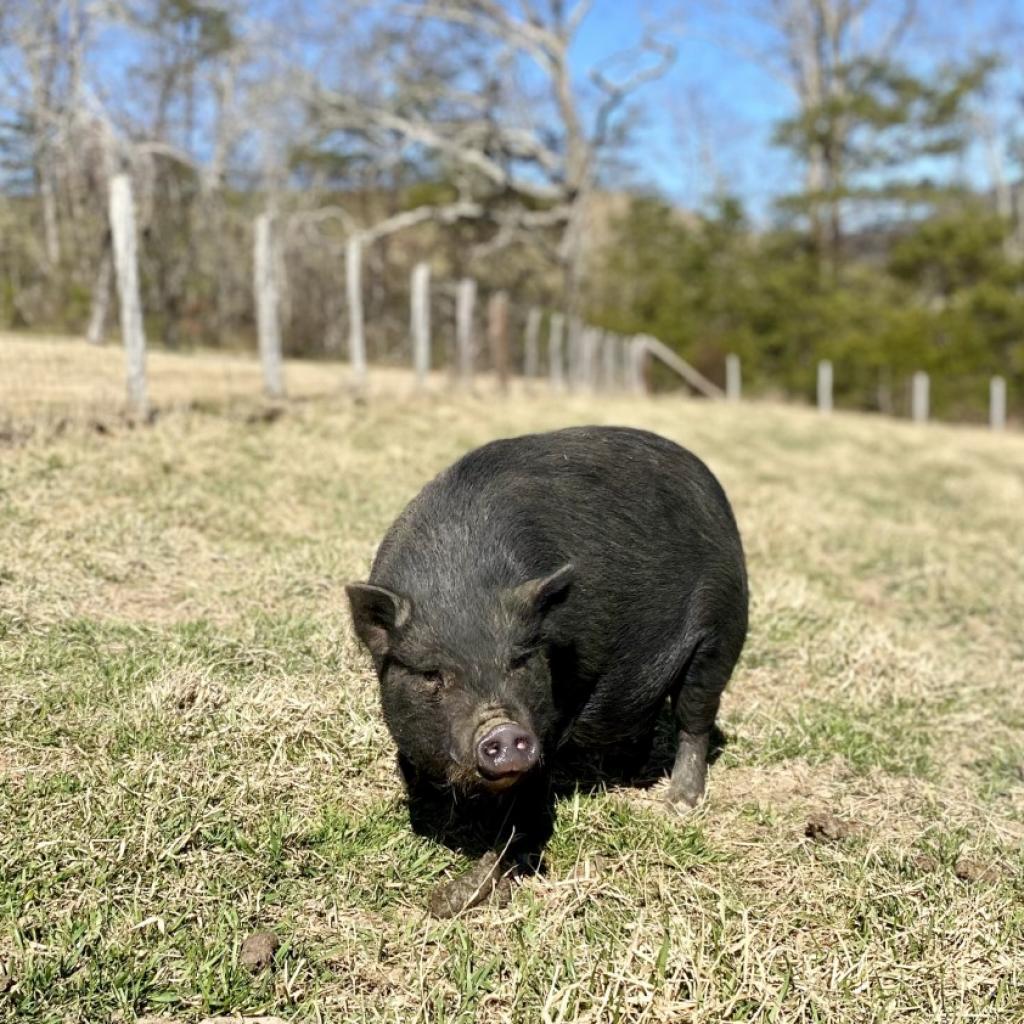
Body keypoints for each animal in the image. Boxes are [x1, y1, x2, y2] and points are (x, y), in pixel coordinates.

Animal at [347, 426, 747, 916]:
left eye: (519, 661)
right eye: (433, 674)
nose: (501, 731)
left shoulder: (555, 717)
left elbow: (520, 814)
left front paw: (446, 902)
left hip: (720, 635)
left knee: (695, 717)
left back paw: (677, 804)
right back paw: (628, 777)